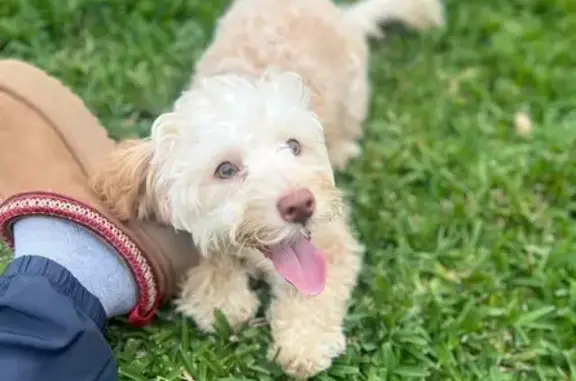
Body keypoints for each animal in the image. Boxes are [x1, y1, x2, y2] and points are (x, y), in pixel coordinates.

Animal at [92, 0, 446, 376]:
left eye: (294, 146)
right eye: (226, 169)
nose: (301, 205)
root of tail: (341, 16)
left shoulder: (331, 238)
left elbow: (318, 290)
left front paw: (304, 343)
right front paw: (220, 298)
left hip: (354, 96)